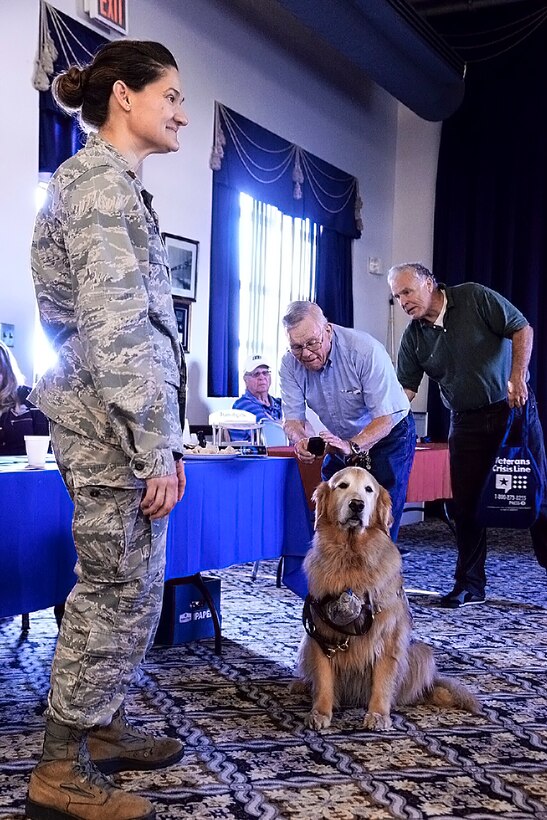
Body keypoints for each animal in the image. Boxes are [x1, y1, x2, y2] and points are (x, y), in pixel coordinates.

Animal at [292, 468, 480, 732]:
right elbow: (324, 679)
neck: (351, 556)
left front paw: (378, 715)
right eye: (342, 485)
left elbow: (382, 681)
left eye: (368, 489)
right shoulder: (320, 635)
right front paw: (320, 712)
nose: (357, 504)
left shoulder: (388, 636)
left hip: (421, 653)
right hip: (306, 644)